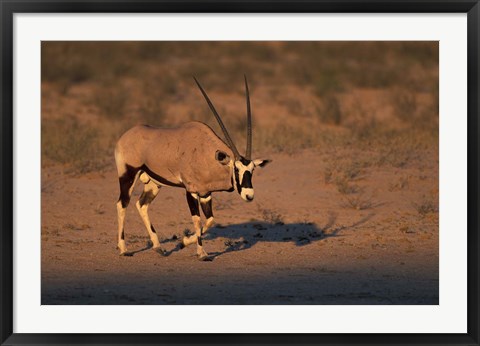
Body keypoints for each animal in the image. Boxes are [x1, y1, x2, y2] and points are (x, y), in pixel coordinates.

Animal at [113, 75, 270, 260]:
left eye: (252, 171)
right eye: (236, 169)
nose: (249, 195)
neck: (205, 154)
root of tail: (125, 136)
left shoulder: (206, 194)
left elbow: (209, 221)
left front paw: (183, 242)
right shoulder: (191, 191)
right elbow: (197, 220)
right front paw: (202, 253)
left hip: (153, 183)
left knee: (142, 204)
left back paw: (158, 247)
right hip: (128, 175)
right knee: (122, 204)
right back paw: (124, 249)